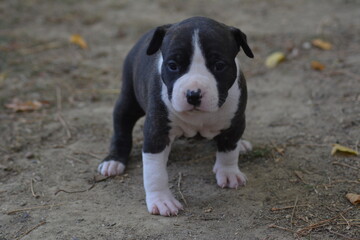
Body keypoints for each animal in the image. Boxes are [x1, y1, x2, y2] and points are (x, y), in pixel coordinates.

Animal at [98, 16, 255, 216]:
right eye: (173, 66)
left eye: (219, 66)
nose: (193, 94)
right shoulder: (157, 132)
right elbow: (155, 171)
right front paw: (162, 201)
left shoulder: (235, 121)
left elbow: (228, 149)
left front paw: (228, 173)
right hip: (127, 101)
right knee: (121, 128)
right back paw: (113, 161)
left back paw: (241, 144)